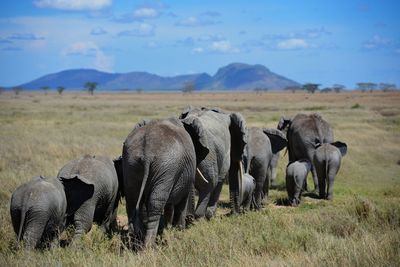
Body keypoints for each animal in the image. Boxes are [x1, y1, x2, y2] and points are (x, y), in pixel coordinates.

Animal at [120, 118, 209, 248]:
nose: (191, 218)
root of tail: (147, 152)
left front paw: (168, 231)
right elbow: (181, 201)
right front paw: (179, 233)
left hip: (131, 164)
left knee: (132, 200)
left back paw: (137, 242)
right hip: (166, 167)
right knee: (156, 203)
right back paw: (149, 246)